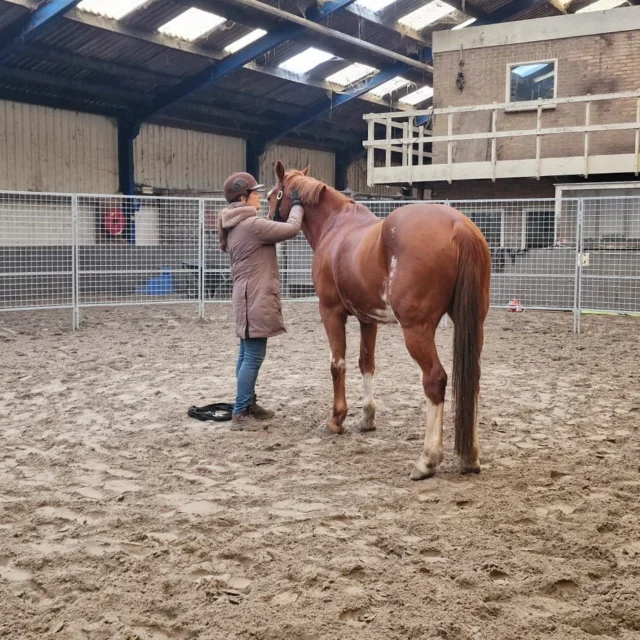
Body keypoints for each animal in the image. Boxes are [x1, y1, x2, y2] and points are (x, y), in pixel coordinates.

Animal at [267, 161, 491, 480]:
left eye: (272, 194)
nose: (267, 218)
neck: (336, 227)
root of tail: (458, 226)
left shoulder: (330, 312)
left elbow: (337, 364)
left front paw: (336, 419)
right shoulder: (367, 319)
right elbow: (366, 364)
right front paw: (367, 418)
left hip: (417, 330)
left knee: (435, 379)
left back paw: (427, 460)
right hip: (473, 324)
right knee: (472, 380)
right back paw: (470, 457)